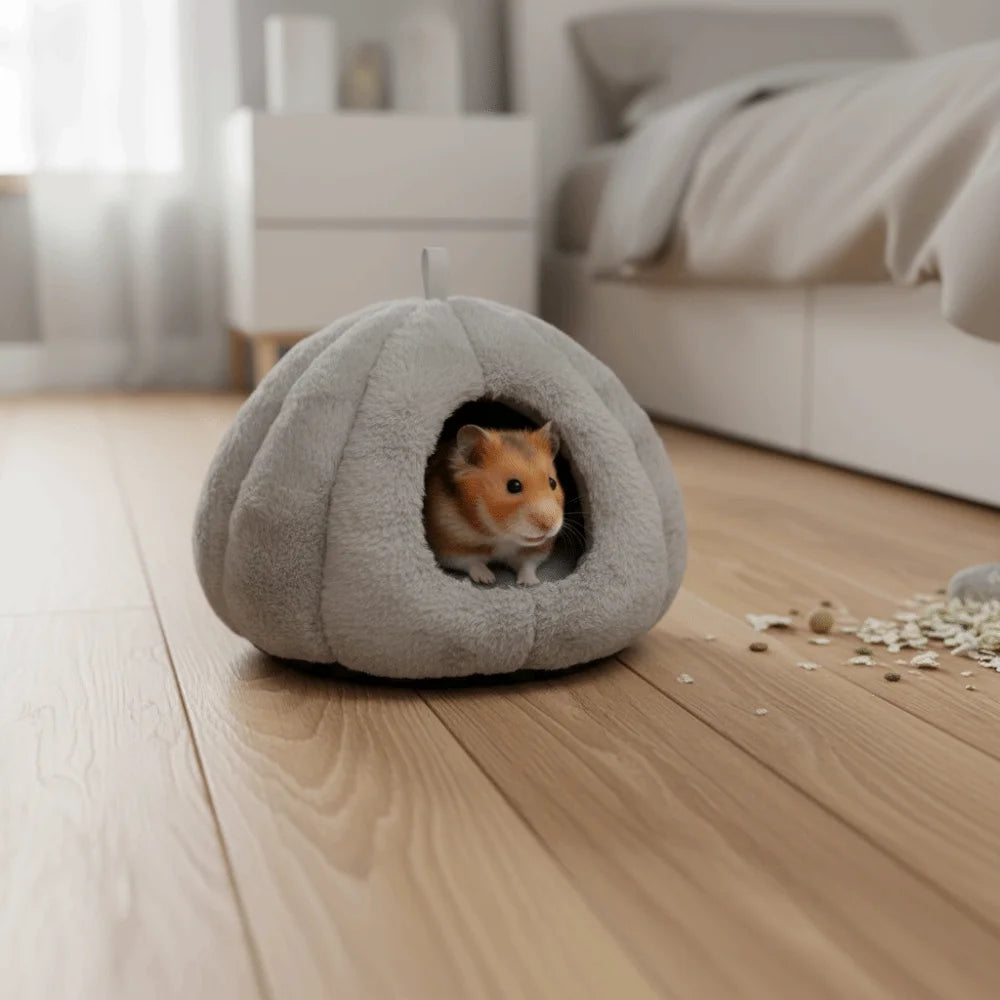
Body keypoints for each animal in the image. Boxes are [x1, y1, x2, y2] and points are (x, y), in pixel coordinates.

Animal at [424, 422, 565, 586]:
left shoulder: (536, 550)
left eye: (552, 482)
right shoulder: (449, 543)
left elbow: (527, 564)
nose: (548, 526)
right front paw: (488, 579)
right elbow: (471, 562)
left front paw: (530, 582)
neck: (502, 535)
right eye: (514, 486)